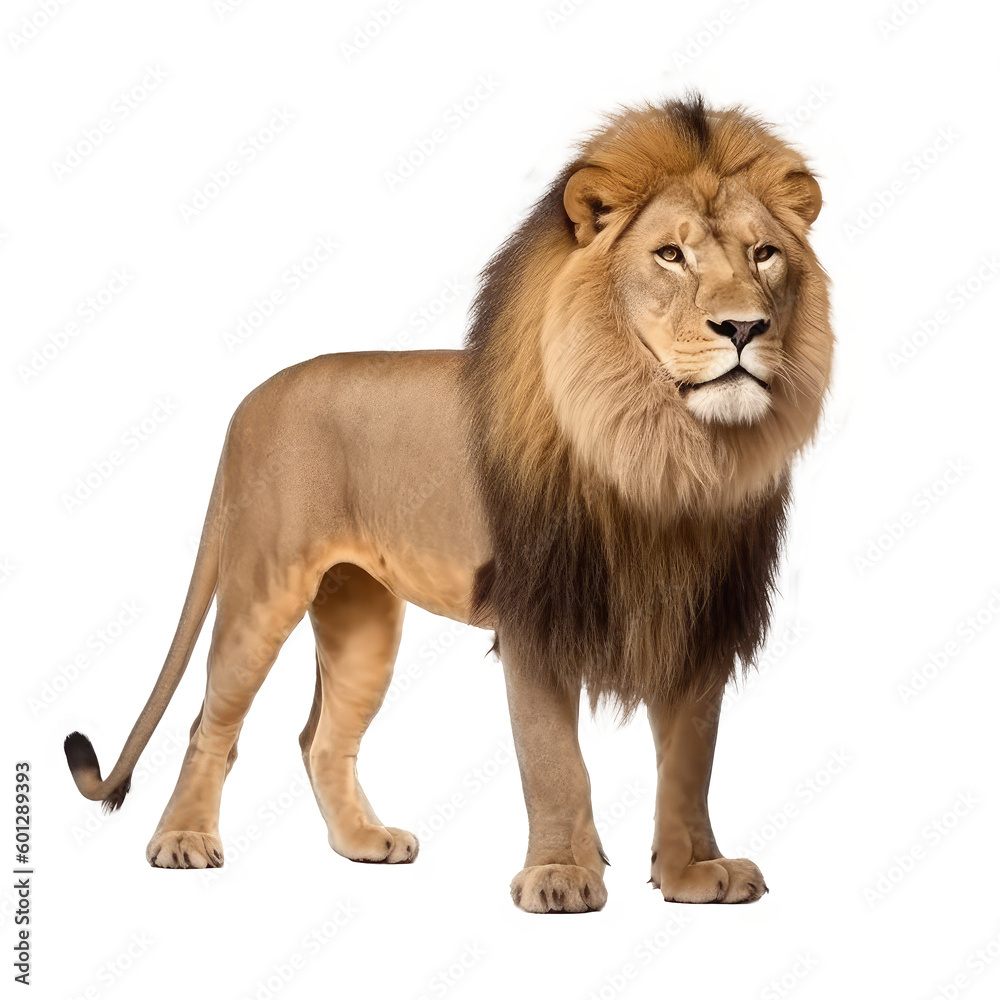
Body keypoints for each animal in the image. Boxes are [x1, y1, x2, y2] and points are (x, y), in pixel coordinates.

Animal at [65, 94, 832, 912]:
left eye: (764, 254)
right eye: (670, 256)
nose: (744, 327)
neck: (664, 451)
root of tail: (254, 397)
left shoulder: (700, 617)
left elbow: (690, 764)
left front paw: (694, 874)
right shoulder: (535, 615)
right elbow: (553, 760)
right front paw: (560, 875)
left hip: (361, 613)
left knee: (322, 736)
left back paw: (364, 842)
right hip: (261, 586)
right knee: (210, 721)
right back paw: (182, 841)